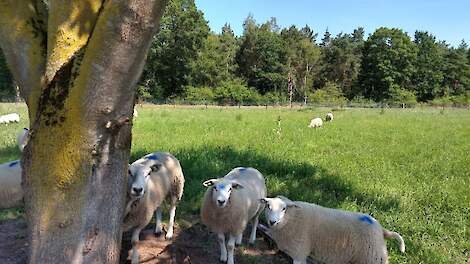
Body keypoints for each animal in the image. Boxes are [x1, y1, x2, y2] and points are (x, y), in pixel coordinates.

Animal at [260, 196, 404, 264]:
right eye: (268, 206)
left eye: (284, 208)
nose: (272, 222)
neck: (291, 218)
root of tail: (380, 228)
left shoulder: (299, 252)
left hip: (373, 258)